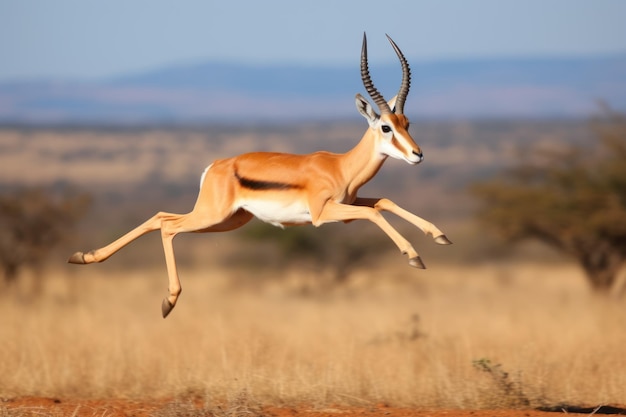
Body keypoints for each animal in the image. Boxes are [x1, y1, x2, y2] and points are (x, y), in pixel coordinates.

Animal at [67, 34, 448, 316]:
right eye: (385, 127)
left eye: (407, 123)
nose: (417, 154)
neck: (341, 166)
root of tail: (215, 166)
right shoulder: (324, 214)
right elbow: (375, 212)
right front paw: (414, 257)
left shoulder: (348, 209)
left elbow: (383, 202)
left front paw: (440, 236)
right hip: (212, 216)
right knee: (168, 225)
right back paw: (167, 300)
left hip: (228, 221)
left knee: (160, 217)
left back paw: (84, 257)